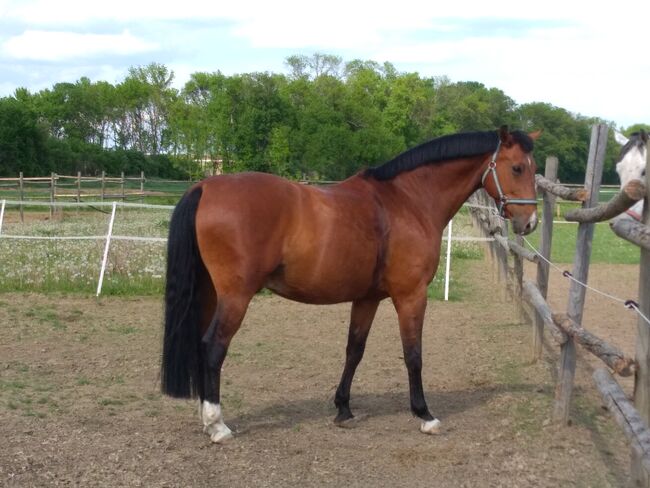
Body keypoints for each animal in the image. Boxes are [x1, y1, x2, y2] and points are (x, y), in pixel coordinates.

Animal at [161, 126, 540, 443]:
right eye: (517, 168)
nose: (530, 222)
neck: (407, 201)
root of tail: (205, 186)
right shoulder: (411, 296)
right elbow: (413, 354)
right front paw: (424, 414)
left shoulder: (367, 298)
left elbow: (354, 350)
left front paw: (343, 408)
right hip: (236, 298)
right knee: (213, 347)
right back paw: (217, 425)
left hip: (210, 294)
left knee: (200, 345)